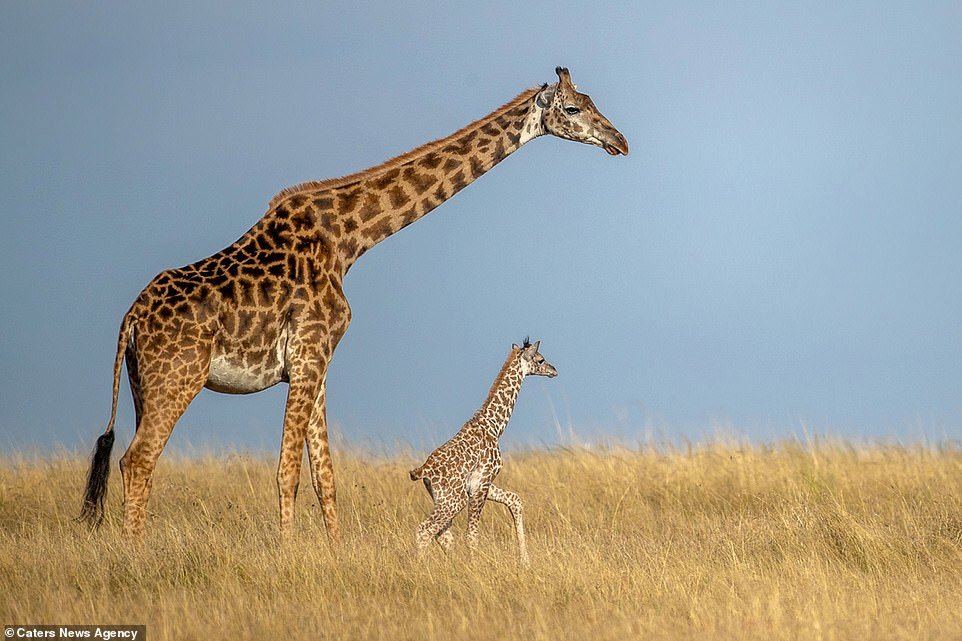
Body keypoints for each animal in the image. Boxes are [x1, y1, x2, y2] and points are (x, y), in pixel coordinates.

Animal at [79, 67, 628, 540]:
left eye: (592, 102)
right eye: (574, 108)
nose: (620, 141)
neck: (348, 240)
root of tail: (129, 320)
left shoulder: (316, 364)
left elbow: (325, 476)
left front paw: (333, 552)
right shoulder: (308, 355)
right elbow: (288, 471)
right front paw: (288, 557)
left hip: (142, 387)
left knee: (133, 460)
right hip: (177, 380)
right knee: (138, 459)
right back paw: (135, 556)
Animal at [410, 338, 560, 564]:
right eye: (540, 359)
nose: (554, 370)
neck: (494, 426)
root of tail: (423, 471)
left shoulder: (482, 483)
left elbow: (515, 500)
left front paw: (524, 560)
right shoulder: (481, 482)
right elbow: (471, 535)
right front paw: (474, 566)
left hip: (442, 499)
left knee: (443, 535)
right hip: (454, 500)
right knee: (424, 530)